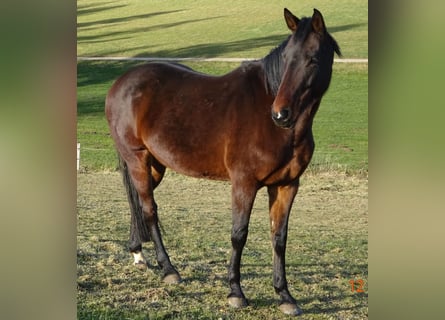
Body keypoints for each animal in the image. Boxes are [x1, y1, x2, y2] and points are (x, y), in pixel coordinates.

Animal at [105, 8, 340, 318]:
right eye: (287, 58)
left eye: (312, 59)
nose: (281, 114)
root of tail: (121, 83)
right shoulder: (244, 183)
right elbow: (239, 234)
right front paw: (235, 292)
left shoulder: (287, 185)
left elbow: (279, 238)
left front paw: (285, 296)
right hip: (137, 159)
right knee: (149, 210)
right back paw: (169, 269)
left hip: (153, 166)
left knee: (136, 204)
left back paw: (137, 253)